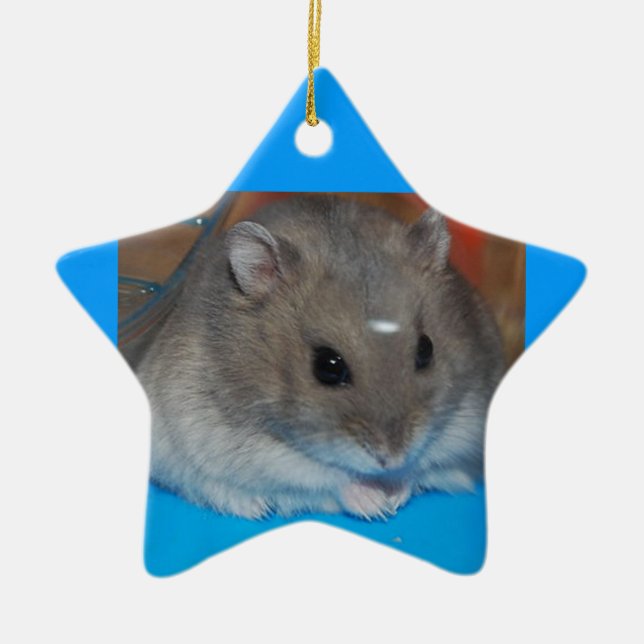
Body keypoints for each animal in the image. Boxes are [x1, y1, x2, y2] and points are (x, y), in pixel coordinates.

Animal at [135, 195, 505, 520]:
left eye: (426, 349)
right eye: (328, 366)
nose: (392, 457)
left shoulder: (464, 427)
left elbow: (422, 468)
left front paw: (395, 495)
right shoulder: (263, 452)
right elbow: (329, 477)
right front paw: (377, 506)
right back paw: (256, 508)